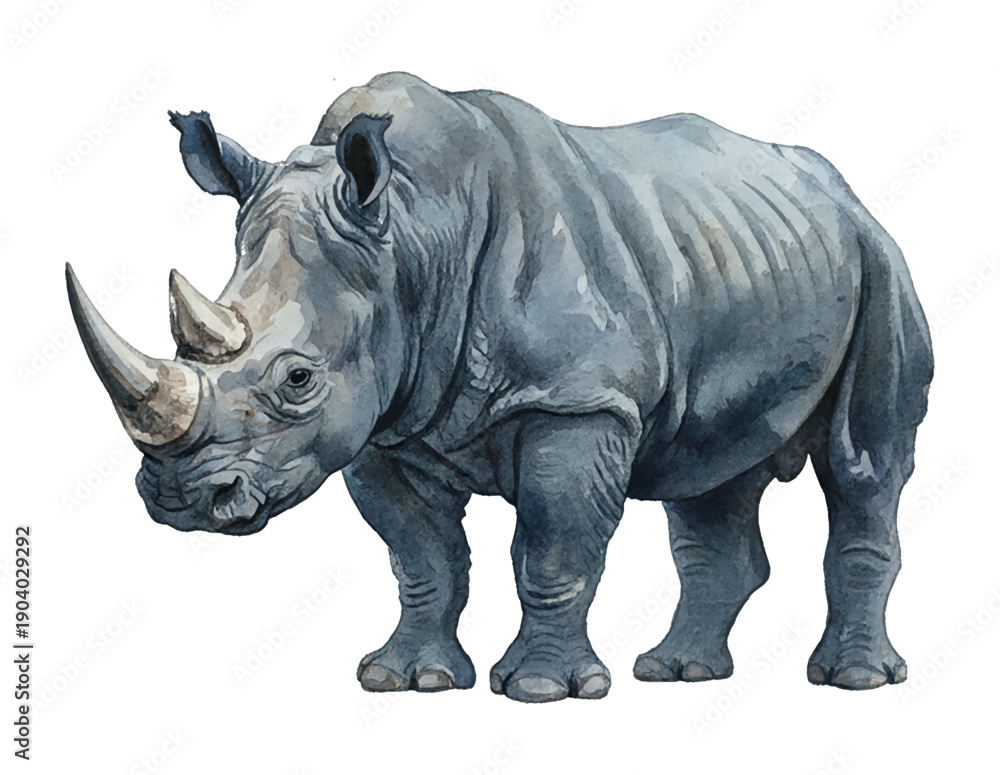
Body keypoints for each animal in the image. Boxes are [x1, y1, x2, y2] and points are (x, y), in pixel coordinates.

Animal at [66, 72, 933, 703]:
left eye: (299, 377)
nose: (180, 499)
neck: (413, 234)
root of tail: (843, 192)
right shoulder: (380, 423)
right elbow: (421, 554)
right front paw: (405, 679)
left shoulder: (576, 400)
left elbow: (553, 545)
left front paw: (543, 689)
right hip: (741, 254)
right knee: (708, 473)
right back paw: (677, 672)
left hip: (879, 260)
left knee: (865, 464)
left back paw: (855, 679)